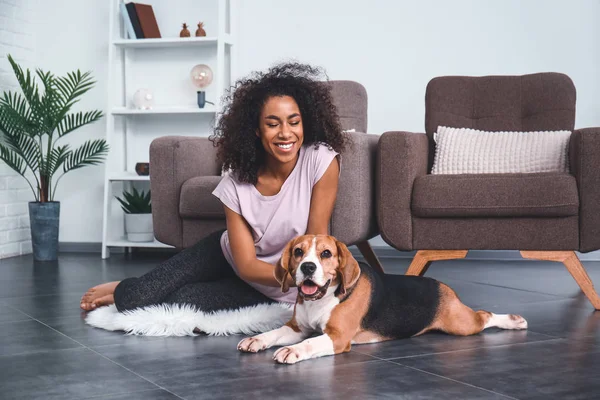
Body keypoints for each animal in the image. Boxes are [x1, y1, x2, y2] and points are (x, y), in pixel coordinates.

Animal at [237, 236, 528, 364]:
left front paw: (293, 351)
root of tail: (443, 286)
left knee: (484, 315)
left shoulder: (337, 337)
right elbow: (274, 333)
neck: (321, 298)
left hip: (460, 325)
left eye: (326, 253)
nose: (307, 267)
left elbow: (309, 343)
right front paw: (257, 339)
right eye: (298, 252)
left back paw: (514, 321)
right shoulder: (297, 328)